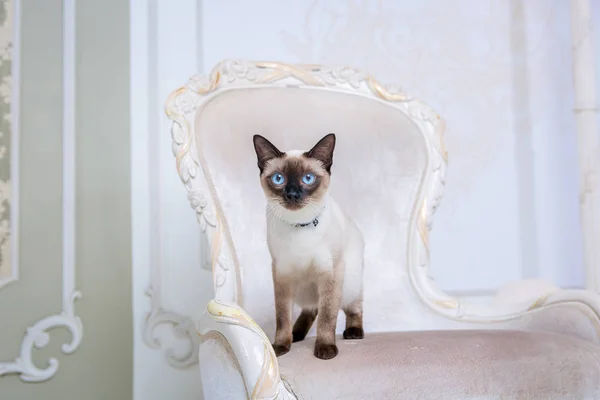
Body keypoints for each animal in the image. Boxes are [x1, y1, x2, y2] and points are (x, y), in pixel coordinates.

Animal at [251, 133, 364, 360]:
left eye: (308, 178)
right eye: (278, 179)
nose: (292, 194)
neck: (299, 225)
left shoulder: (330, 273)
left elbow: (327, 316)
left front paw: (325, 349)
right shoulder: (281, 274)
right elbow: (282, 317)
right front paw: (281, 347)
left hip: (350, 283)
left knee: (353, 308)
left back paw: (353, 332)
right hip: (303, 290)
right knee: (311, 310)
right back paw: (296, 335)